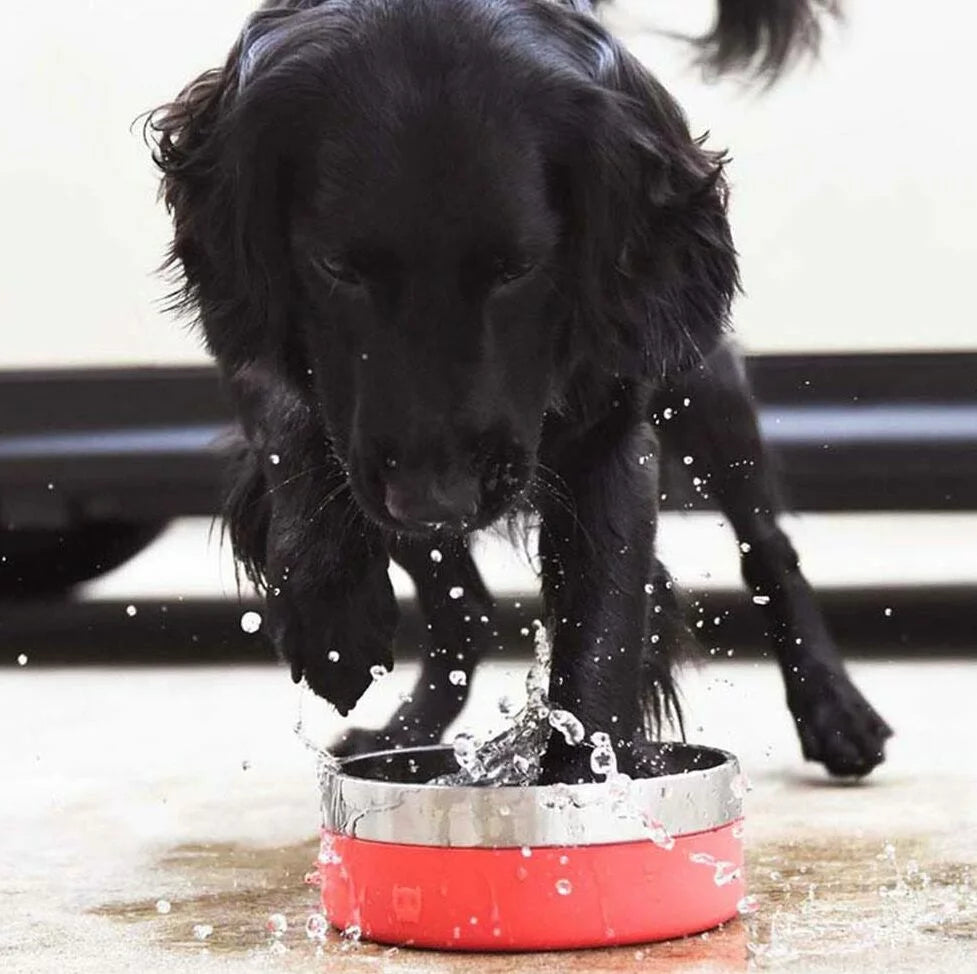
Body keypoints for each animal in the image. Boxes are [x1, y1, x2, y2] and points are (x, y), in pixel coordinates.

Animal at [149, 0, 888, 780]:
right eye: (336, 268)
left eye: (517, 268)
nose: (436, 501)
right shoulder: (247, 318)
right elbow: (291, 420)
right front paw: (332, 611)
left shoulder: (611, 422)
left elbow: (602, 633)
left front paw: (583, 788)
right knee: (466, 608)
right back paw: (404, 731)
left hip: (697, 370)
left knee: (767, 544)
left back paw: (836, 710)